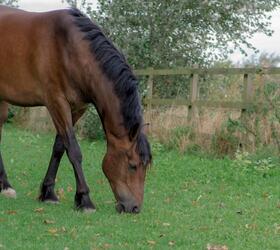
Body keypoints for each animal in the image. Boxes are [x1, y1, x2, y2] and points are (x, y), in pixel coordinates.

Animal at [0, 5, 151, 213]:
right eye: (133, 165)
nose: (135, 208)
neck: (69, 48)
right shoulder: (56, 102)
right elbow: (73, 150)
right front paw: (85, 199)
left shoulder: (78, 108)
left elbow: (59, 147)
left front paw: (48, 193)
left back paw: (5, 185)